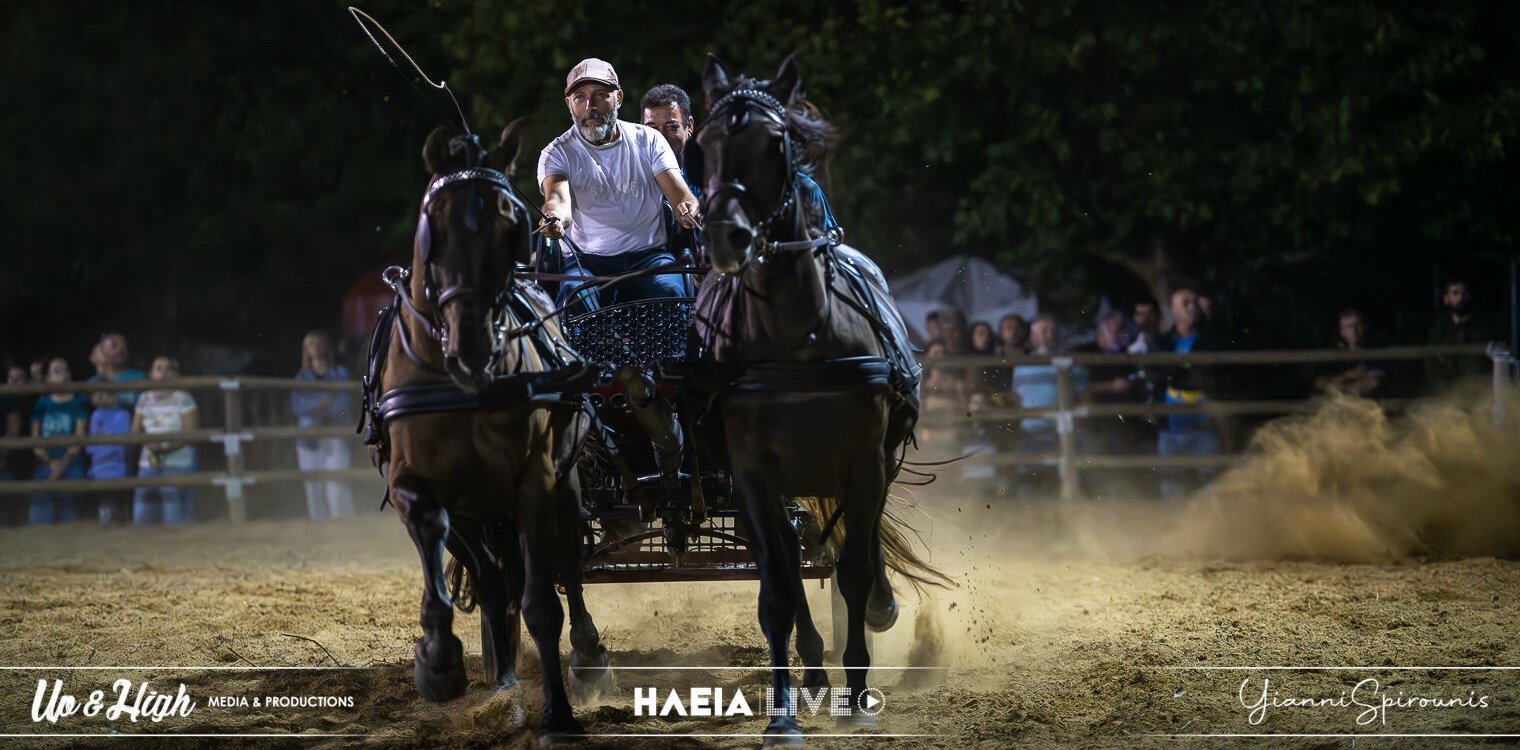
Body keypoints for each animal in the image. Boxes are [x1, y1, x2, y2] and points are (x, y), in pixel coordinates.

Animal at [358, 122, 608, 742]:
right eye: (434, 224)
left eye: (510, 225)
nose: (471, 343)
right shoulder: (412, 485)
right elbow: (438, 540)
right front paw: (438, 662)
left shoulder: (535, 482)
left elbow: (543, 603)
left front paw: (558, 716)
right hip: (477, 514)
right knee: (494, 584)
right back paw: (501, 681)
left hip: (563, 487)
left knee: (567, 567)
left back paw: (588, 656)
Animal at [693, 54, 948, 742]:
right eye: (705, 143)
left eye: (774, 142)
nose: (725, 236)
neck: (798, 340)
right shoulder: (752, 475)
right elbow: (779, 589)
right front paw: (782, 712)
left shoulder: (862, 462)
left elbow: (853, 570)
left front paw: (857, 694)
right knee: (782, 561)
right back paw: (809, 669)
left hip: (874, 462)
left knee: (853, 548)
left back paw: (876, 614)